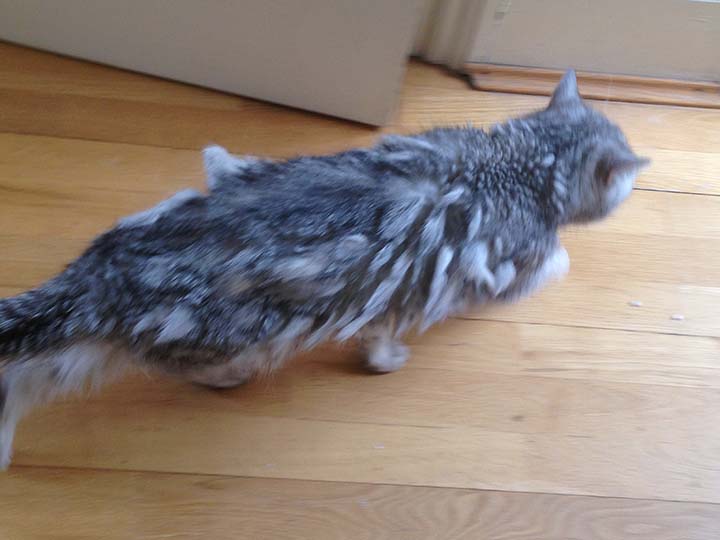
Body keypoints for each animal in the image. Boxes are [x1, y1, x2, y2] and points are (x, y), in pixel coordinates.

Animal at [0, 71, 648, 468]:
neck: (516, 160)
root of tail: (101, 273)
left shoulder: (389, 291)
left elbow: (380, 327)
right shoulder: (492, 263)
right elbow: (548, 261)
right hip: (228, 335)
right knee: (165, 365)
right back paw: (228, 378)